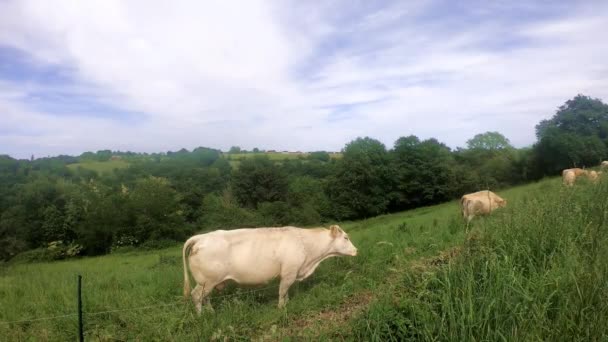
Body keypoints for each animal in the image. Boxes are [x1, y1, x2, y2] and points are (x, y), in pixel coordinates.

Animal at [183, 224, 358, 312]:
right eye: (346, 237)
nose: (356, 250)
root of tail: (201, 237)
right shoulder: (289, 272)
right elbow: (282, 292)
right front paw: (281, 309)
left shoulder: (289, 274)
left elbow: (286, 293)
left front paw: (287, 304)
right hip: (206, 281)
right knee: (196, 296)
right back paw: (202, 316)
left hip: (209, 283)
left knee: (205, 298)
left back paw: (211, 313)